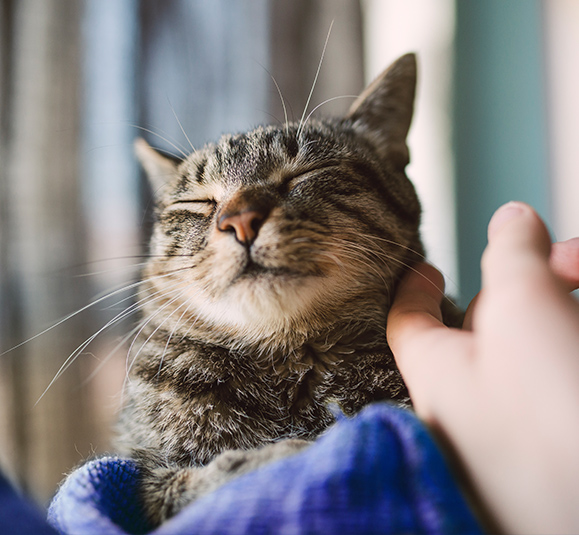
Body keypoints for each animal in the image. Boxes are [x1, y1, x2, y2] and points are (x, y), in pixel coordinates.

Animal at [115, 54, 446, 528]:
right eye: (197, 203)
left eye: (305, 173)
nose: (239, 219)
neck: (285, 359)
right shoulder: (143, 476)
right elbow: (202, 481)